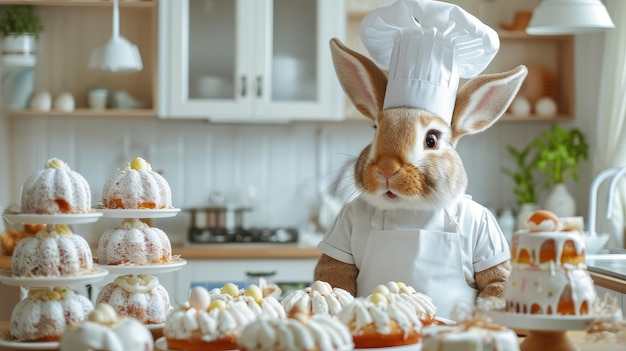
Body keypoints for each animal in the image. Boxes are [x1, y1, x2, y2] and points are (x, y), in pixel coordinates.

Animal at [312, 39, 528, 320]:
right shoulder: (340, 231)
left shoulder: (489, 237)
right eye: (375, 131)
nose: (387, 169)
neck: (409, 213)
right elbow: (334, 270)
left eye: (432, 139)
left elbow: (495, 281)